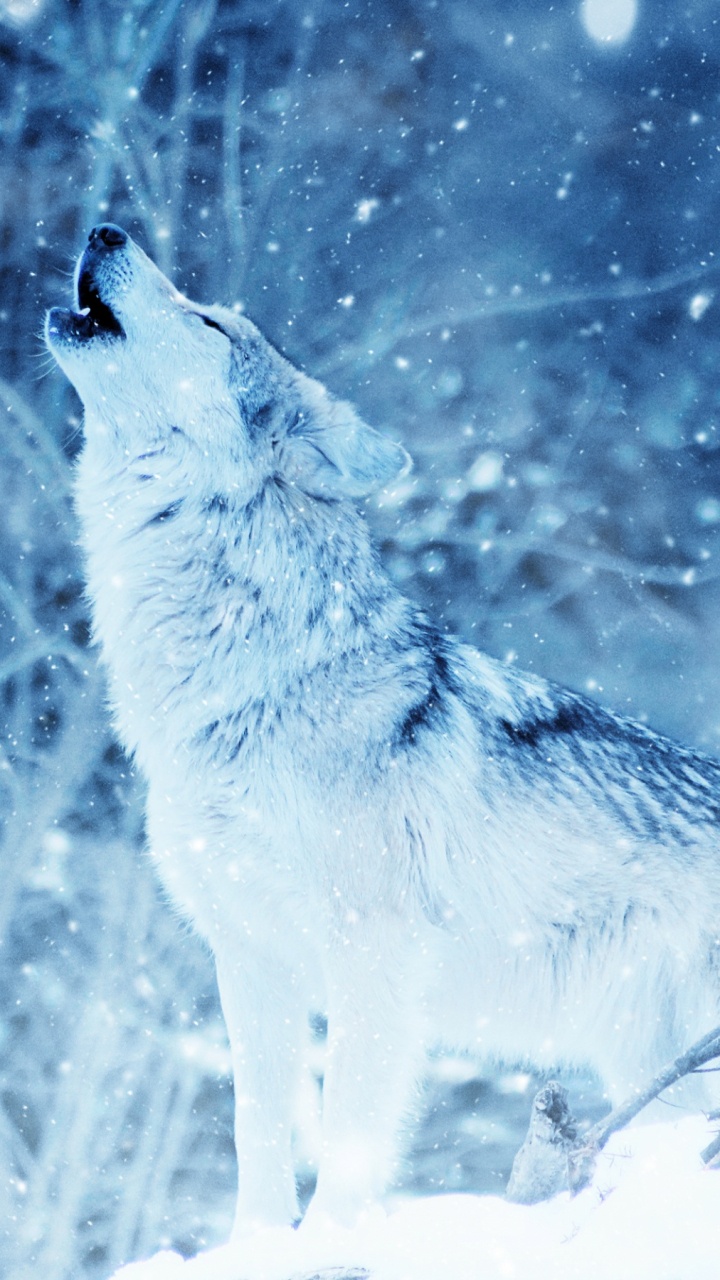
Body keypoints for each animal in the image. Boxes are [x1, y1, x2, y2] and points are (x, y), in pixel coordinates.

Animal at [46, 224, 720, 1237]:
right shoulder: (249, 959)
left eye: (208, 322)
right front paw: (257, 1249)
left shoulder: (374, 956)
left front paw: (331, 1244)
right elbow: (257, 1133)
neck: (251, 683)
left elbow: (352, 1136)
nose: (105, 229)